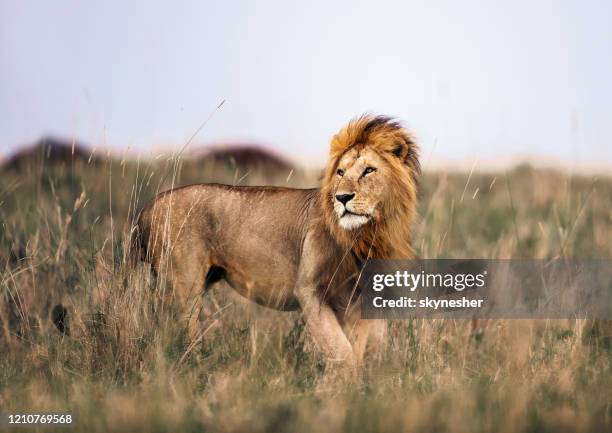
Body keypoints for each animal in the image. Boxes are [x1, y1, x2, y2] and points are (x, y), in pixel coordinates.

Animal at [135, 114, 420, 364]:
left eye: (369, 170)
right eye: (340, 172)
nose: (342, 197)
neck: (368, 235)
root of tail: (147, 208)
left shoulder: (361, 299)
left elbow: (359, 349)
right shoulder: (309, 289)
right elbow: (341, 349)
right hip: (183, 286)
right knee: (175, 331)